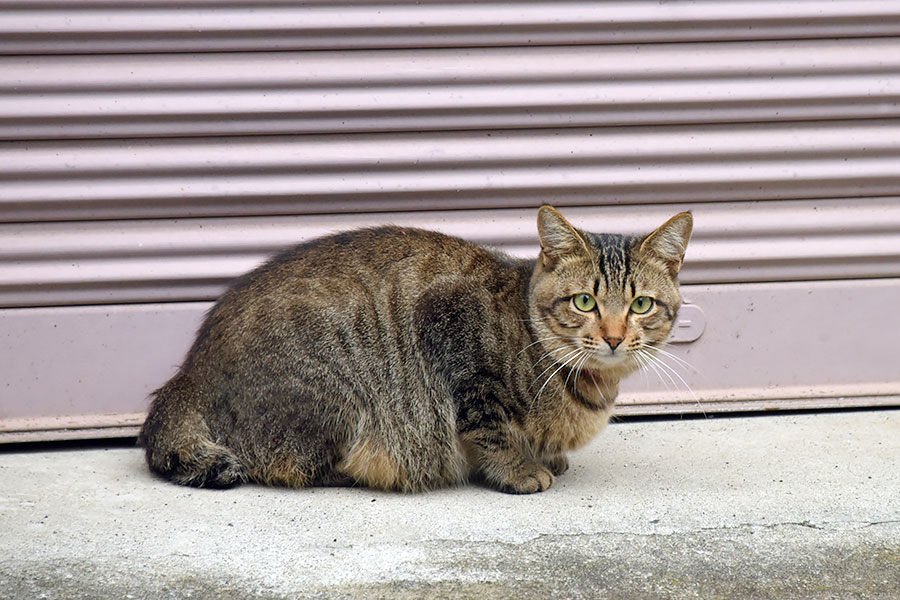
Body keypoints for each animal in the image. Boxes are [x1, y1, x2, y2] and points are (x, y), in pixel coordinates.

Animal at [141, 206, 692, 492]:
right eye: (584, 301)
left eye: (641, 304)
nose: (614, 336)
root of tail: (188, 374)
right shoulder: (450, 331)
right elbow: (489, 425)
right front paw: (518, 469)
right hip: (338, 393)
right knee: (290, 467)